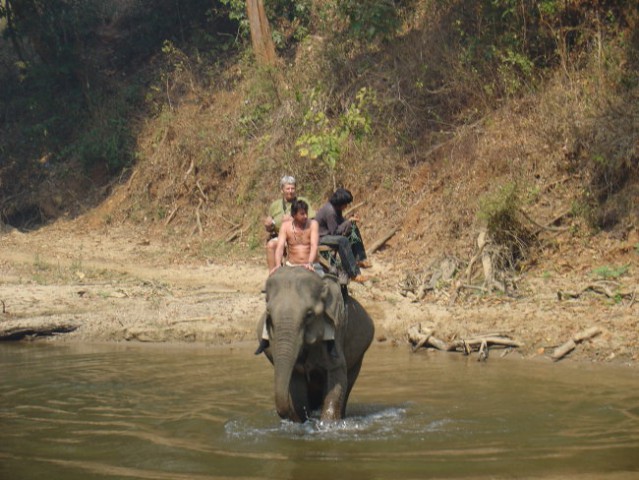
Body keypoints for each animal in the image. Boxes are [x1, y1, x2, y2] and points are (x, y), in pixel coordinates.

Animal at [255, 268, 376, 422]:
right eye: (269, 314)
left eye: (309, 314)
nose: (285, 415)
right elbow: (297, 388)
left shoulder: (336, 332)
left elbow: (337, 376)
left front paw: (327, 423)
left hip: (359, 355)